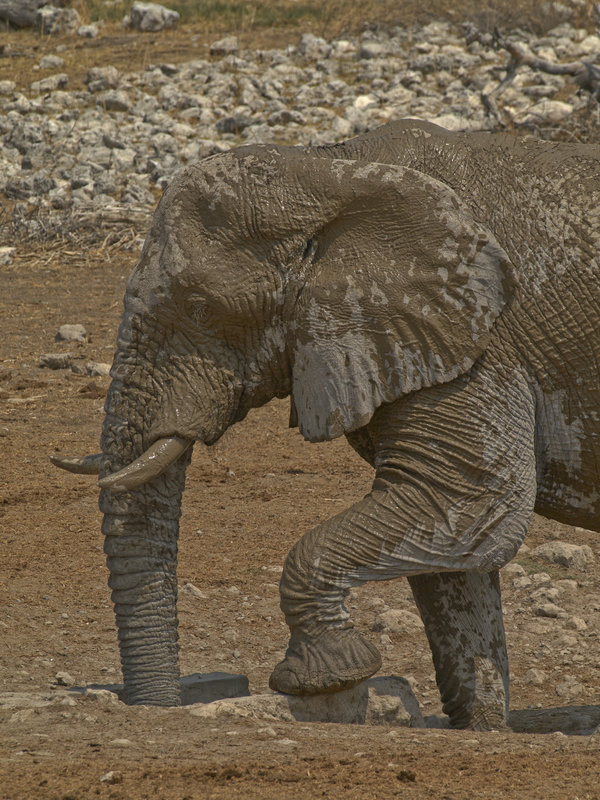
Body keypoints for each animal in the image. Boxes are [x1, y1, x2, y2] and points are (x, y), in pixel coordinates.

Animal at [52, 118, 600, 730]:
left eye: (200, 307)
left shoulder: (483, 339)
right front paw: (479, 730)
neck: (332, 168)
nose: (160, 708)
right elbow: (456, 547)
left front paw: (322, 677)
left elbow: (467, 501)